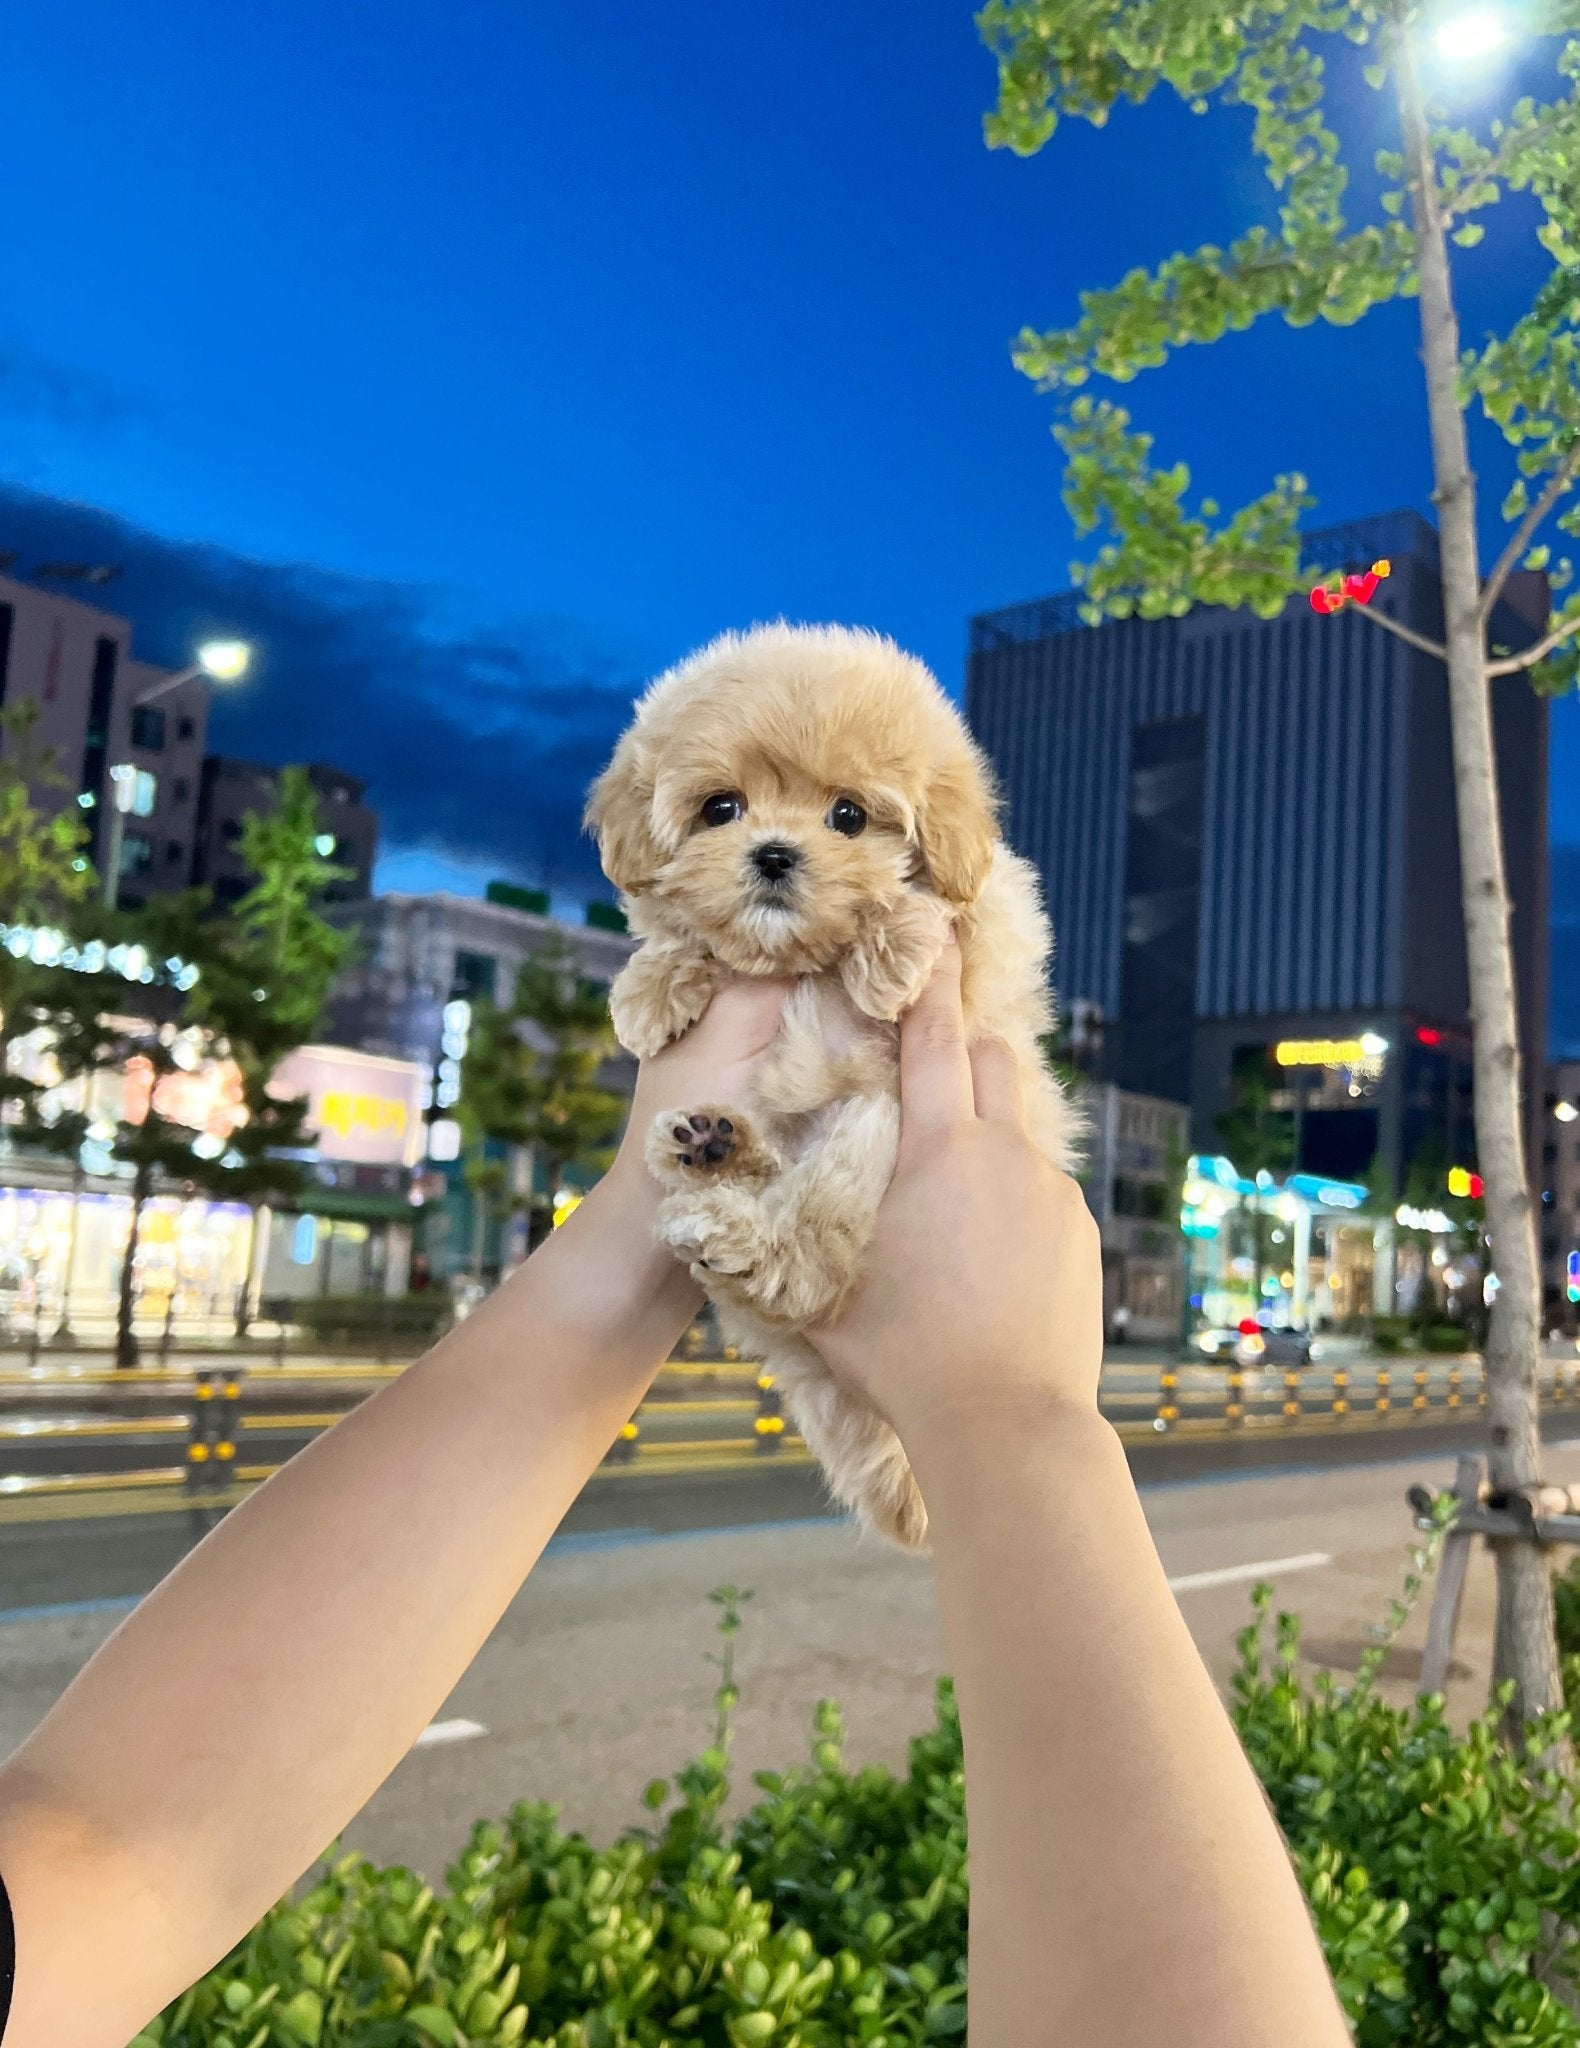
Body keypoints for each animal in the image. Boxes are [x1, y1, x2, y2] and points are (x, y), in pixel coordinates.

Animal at [586, 622, 1082, 1548]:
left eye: (848, 816)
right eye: (722, 808)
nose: (775, 854)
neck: (801, 957)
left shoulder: (988, 962)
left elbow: (944, 916)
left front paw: (891, 942)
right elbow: (681, 933)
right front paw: (653, 985)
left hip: (871, 1134)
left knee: (807, 1259)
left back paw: (738, 1221)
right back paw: (711, 1149)